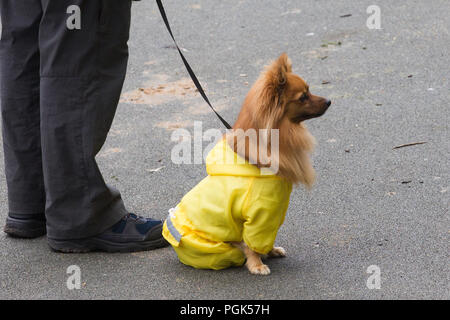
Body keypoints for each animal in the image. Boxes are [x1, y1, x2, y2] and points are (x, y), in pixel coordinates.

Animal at [163, 53, 332, 274]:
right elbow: (253, 242)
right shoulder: (260, 213)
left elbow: (267, 237)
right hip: (218, 249)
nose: (329, 101)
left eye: (309, 90)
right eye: (303, 96)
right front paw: (256, 265)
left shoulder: (274, 212)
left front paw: (270, 251)